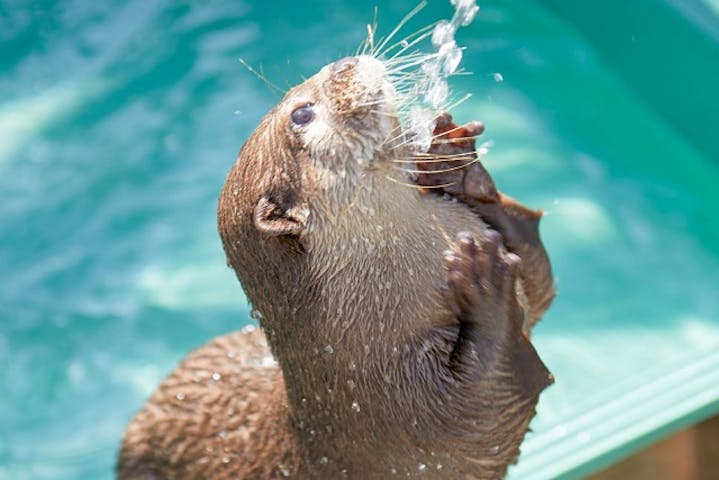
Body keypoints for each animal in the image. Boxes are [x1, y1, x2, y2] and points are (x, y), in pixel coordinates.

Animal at [118, 54, 556, 478]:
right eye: (301, 113)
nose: (344, 63)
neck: (372, 324)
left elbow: (539, 282)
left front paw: (454, 164)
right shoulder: (418, 417)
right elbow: (498, 401)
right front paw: (485, 281)